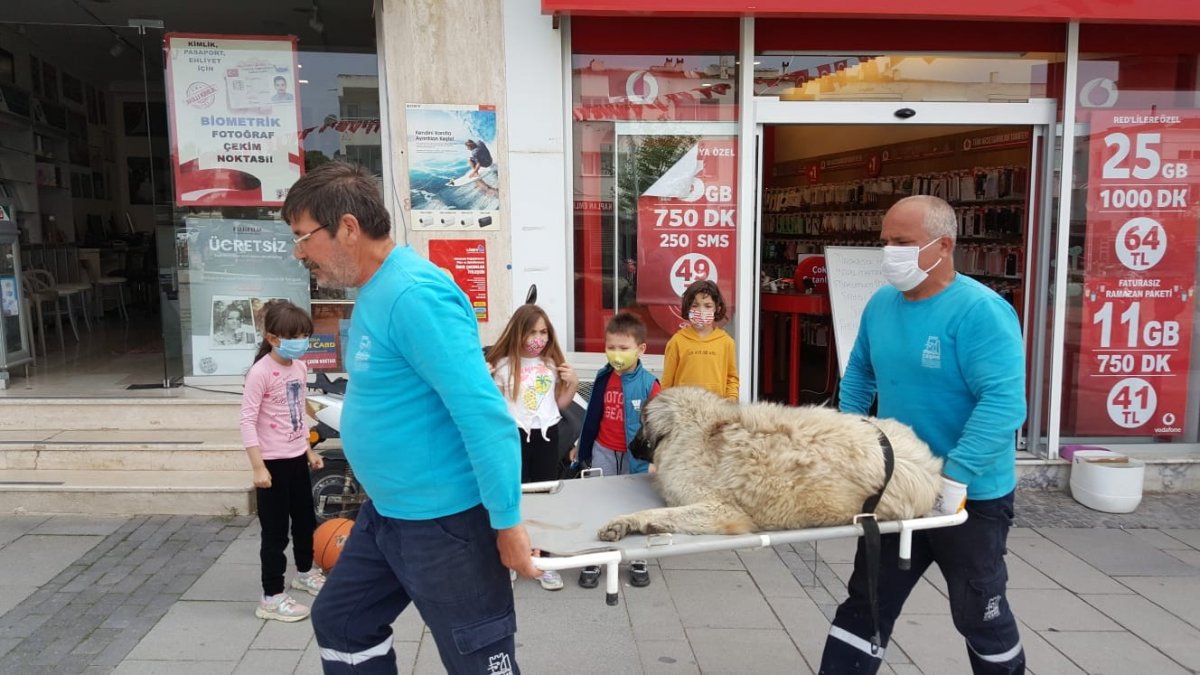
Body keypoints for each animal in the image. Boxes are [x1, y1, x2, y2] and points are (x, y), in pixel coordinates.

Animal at [595, 386, 940, 538]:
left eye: (640, 425)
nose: (630, 445)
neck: (700, 428)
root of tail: (931, 467)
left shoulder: (721, 510)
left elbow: (663, 513)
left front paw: (630, 522)